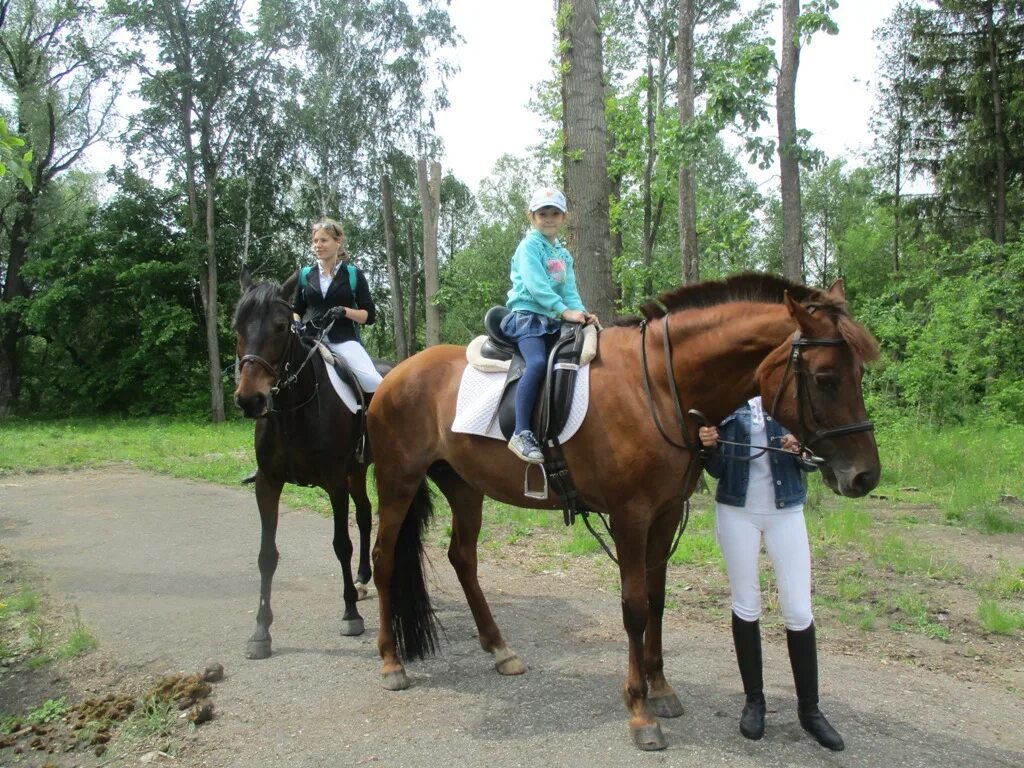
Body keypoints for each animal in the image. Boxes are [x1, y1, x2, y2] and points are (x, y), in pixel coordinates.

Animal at [234, 272, 389, 663]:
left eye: (279, 326)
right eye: (236, 326)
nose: (250, 399)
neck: (294, 408)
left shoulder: (334, 482)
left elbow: (341, 544)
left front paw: (350, 615)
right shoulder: (268, 483)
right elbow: (266, 554)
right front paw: (261, 630)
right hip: (356, 471)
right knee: (365, 514)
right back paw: (363, 578)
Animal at [368, 274, 880, 753]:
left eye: (858, 373)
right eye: (825, 378)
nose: (866, 476)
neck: (657, 385)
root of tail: (394, 375)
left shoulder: (666, 513)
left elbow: (656, 599)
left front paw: (661, 688)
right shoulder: (630, 516)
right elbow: (633, 608)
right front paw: (640, 710)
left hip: (464, 488)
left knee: (463, 558)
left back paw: (499, 649)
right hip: (397, 483)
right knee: (383, 560)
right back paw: (391, 661)